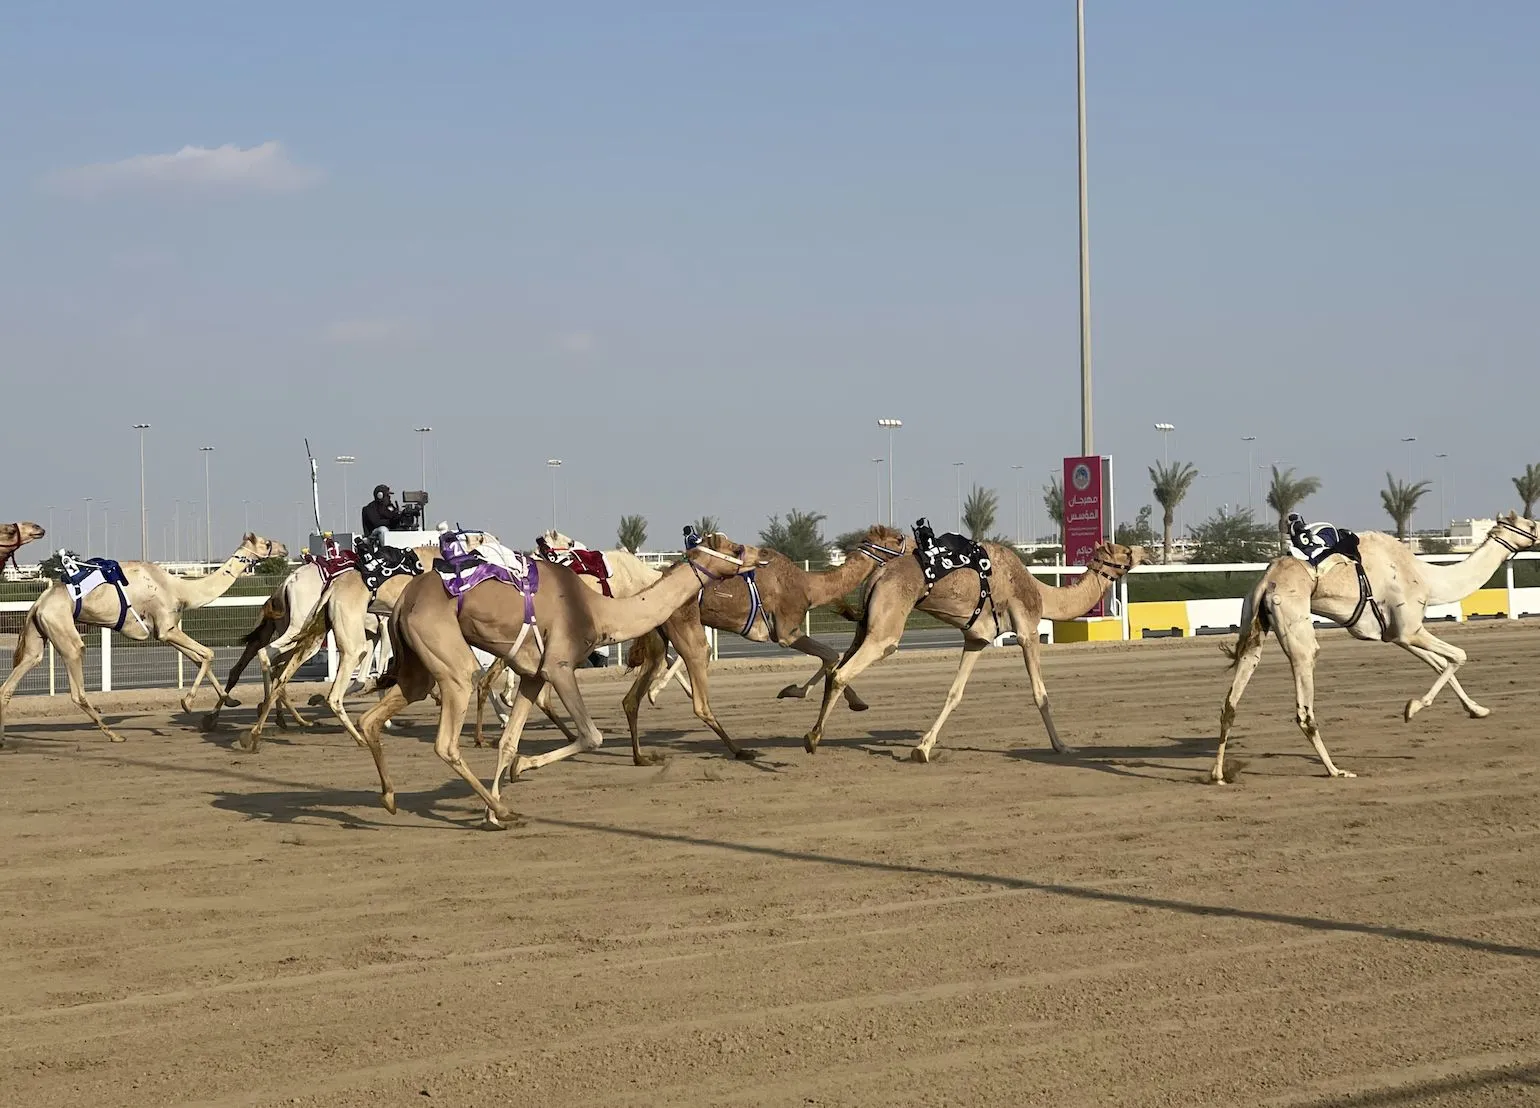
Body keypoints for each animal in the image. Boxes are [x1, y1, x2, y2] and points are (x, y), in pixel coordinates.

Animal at [2, 530, 289, 745]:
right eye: (266, 543)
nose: (284, 547)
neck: (180, 588)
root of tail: (37, 605)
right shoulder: (167, 628)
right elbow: (209, 653)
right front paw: (187, 703)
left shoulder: (164, 632)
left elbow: (200, 658)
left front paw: (227, 703)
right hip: (64, 633)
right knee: (76, 689)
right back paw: (114, 735)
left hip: (38, 637)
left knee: (12, 682)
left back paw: (5, 739)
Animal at [358, 533, 770, 825]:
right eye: (735, 546)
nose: (762, 553)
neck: (598, 611)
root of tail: (401, 602)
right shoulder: (559, 666)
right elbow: (591, 736)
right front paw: (517, 776)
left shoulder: (532, 675)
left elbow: (509, 741)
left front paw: (495, 802)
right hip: (449, 660)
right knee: (447, 737)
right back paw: (506, 813)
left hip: (417, 667)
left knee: (374, 716)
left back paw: (390, 798)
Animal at [616, 527, 905, 764]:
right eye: (898, 538)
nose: (910, 546)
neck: (810, 586)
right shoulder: (786, 631)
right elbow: (830, 654)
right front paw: (795, 693)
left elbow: (831, 657)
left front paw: (855, 701)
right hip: (685, 625)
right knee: (698, 691)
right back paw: (739, 750)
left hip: (658, 636)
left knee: (632, 697)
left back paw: (641, 756)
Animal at [800, 542, 1151, 767]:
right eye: (1126, 550)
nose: (1146, 553)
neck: (1041, 593)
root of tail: (877, 575)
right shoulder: (1027, 631)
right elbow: (1041, 694)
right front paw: (1062, 746)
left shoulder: (975, 640)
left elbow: (954, 693)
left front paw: (923, 748)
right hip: (886, 628)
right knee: (844, 670)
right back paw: (813, 737)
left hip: (866, 625)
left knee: (838, 661)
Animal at [1213, 514, 1540, 785]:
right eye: (1532, 525)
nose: (1539, 535)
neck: (1427, 578)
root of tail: (1267, 583)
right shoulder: (1410, 628)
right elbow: (1459, 655)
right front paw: (1413, 708)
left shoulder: (1397, 634)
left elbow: (1439, 662)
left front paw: (1477, 710)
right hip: (1297, 631)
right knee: (1304, 706)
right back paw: (1336, 770)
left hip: (1253, 624)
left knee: (1230, 702)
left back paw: (1218, 774)